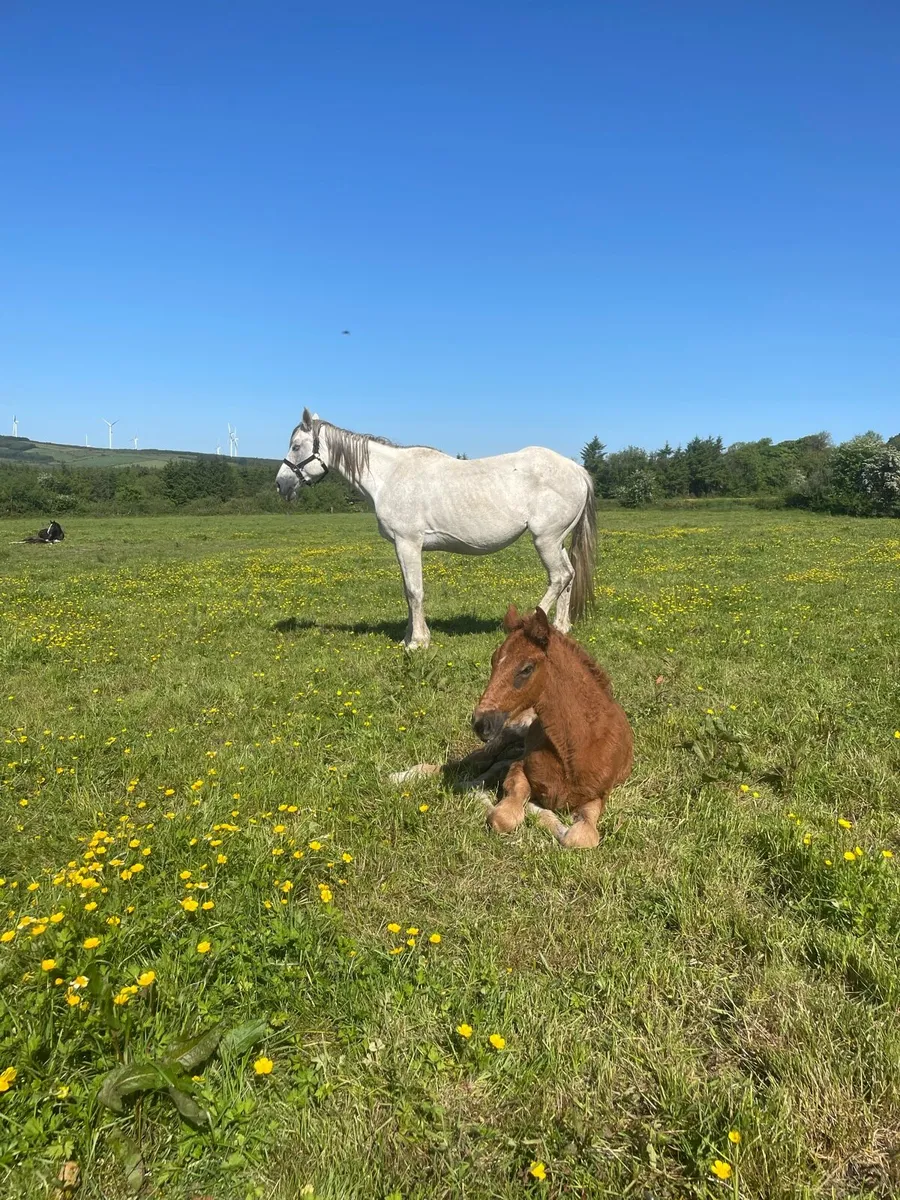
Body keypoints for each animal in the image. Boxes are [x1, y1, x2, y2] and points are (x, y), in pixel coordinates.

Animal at [275, 409, 597, 650]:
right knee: (569, 576)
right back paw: (560, 628)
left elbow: (414, 591)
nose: (281, 484)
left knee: (560, 577)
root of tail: (577, 470)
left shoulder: (408, 543)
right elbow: (407, 592)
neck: (389, 475)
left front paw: (418, 642)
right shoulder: (401, 546)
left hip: (545, 540)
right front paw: (408, 637)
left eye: (296, 446)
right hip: (557, 541)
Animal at [471, 605, 633, 849]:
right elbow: (503, 817)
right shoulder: (519, 768)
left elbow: (579, 838)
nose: (481, 723)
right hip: (505, 735)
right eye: (493, 660)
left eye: (526, 669)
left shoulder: (598, 795)